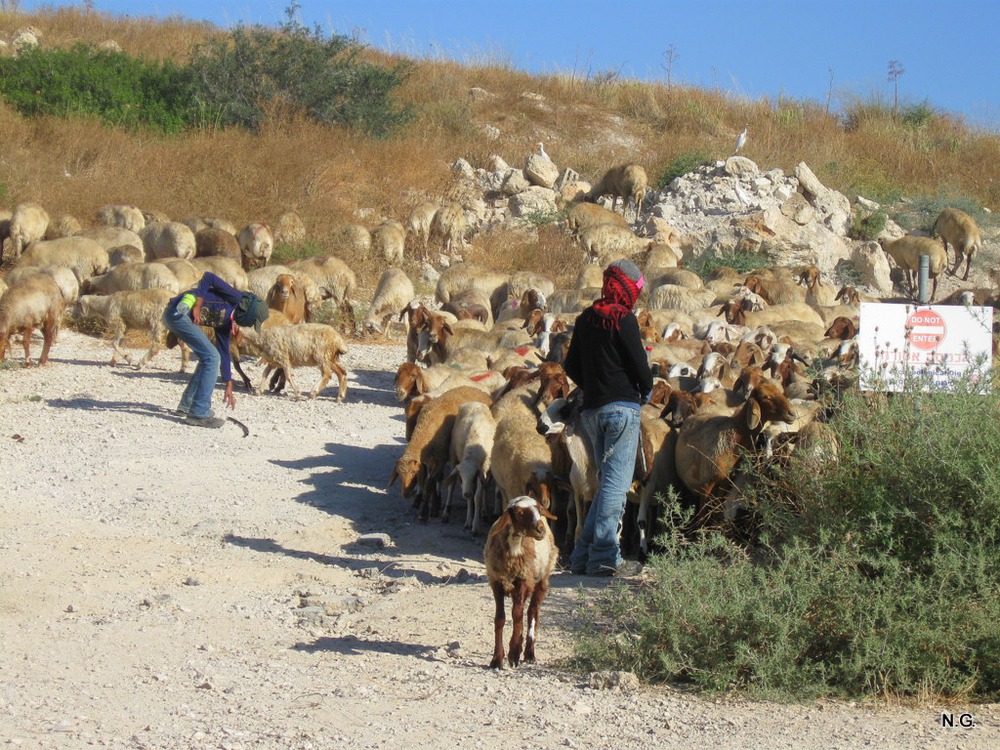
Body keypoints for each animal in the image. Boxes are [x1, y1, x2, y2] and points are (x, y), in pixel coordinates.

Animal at [482, 500, 560, 668]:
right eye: (519, 513)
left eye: (539, 510)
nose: (540, 530)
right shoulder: (496, 582)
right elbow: (500, 618)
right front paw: (497, 659)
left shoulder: (523, 580)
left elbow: (517, 615)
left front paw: (514, 653)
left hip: (542, 579)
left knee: (532, 611)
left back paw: (529, 653)